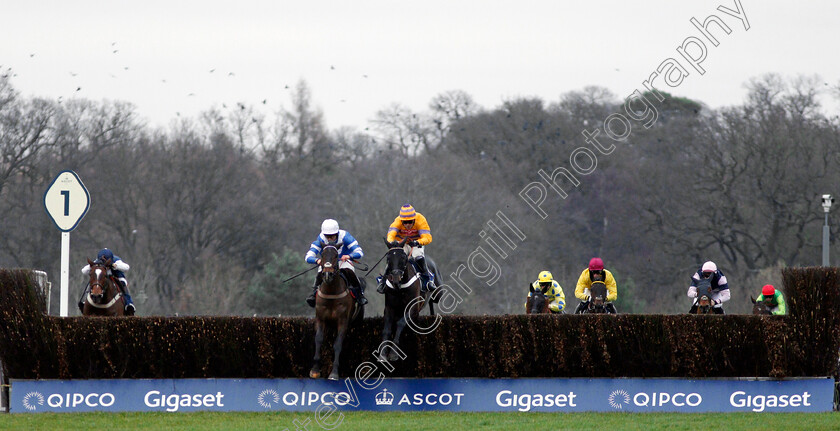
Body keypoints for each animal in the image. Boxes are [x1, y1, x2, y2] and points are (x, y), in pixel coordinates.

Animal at [308, 245, 360, 380]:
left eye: (336, 255)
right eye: (322, 255)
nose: (327, 274)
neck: (331, 292)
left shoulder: (343, 321)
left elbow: (338, 344)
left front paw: (334, 373)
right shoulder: (321, 319)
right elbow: (318, 339)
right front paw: (315, 370)